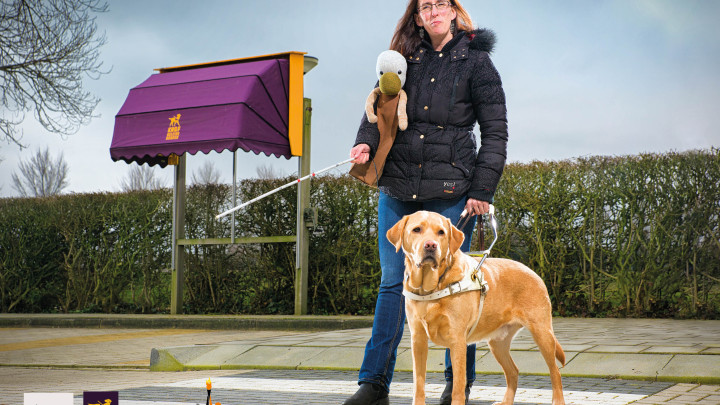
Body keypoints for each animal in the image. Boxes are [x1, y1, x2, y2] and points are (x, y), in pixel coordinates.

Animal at [388, 210, 564, 402]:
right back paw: (505, 402)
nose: (430, 245)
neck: (431, 288)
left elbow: (458, 387)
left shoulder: (457, 341)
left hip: (542, 333)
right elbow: (418, 384)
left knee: (555, 372)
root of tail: (533, 272)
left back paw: (558, 400)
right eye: (416, 229)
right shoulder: (418, 340)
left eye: (441, 232)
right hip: (498, 343)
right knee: (513, 371)